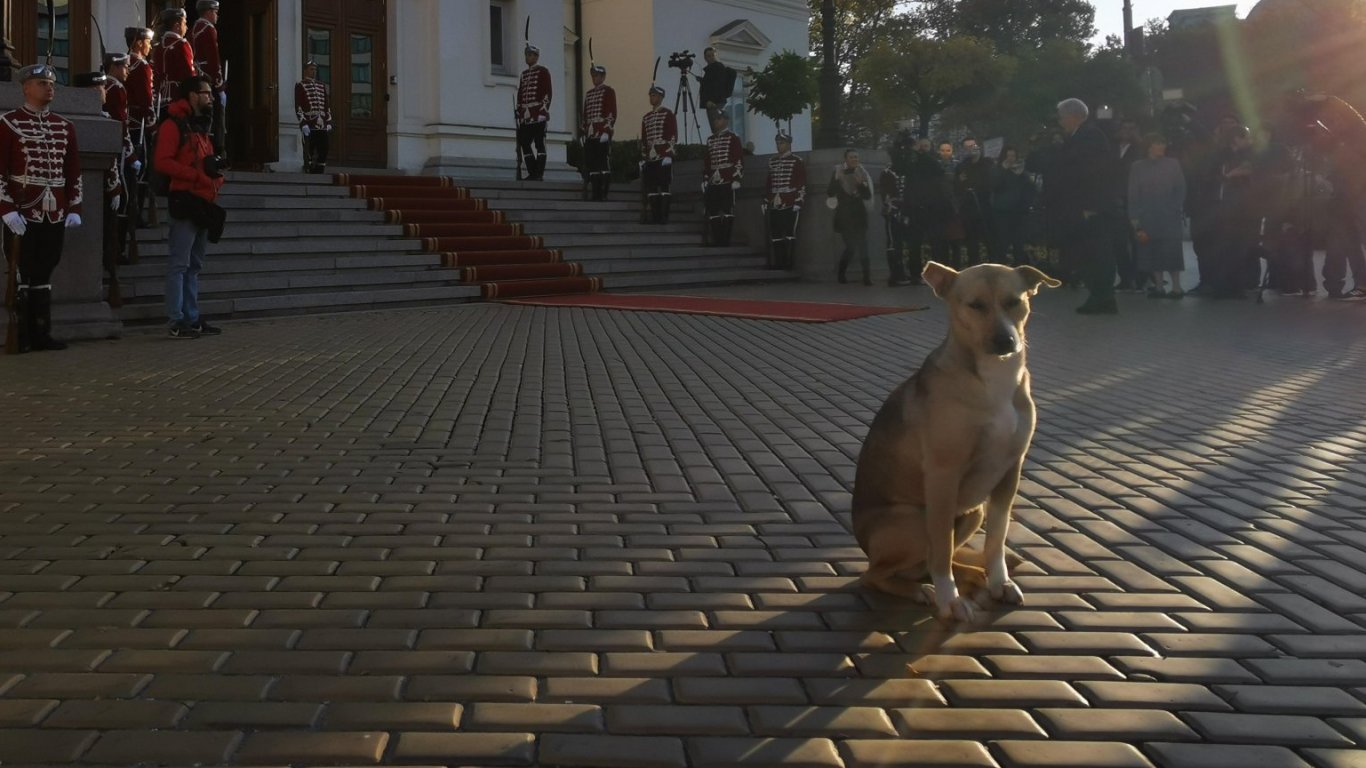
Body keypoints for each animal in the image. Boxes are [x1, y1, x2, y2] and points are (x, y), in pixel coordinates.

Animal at [846, 259, 1060, 617]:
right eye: (975, 305)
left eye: (1014, 301)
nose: (1005, 340)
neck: (993, 379)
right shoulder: (943, 475)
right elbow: (942, 549)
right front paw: (950, 600)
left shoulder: (1010, 471)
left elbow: (996, 539)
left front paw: (999, 581)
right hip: (913, 519)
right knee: (876, 574)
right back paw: (923, 590)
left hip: (973, 511)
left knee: (932, 561)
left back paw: (975, 573)